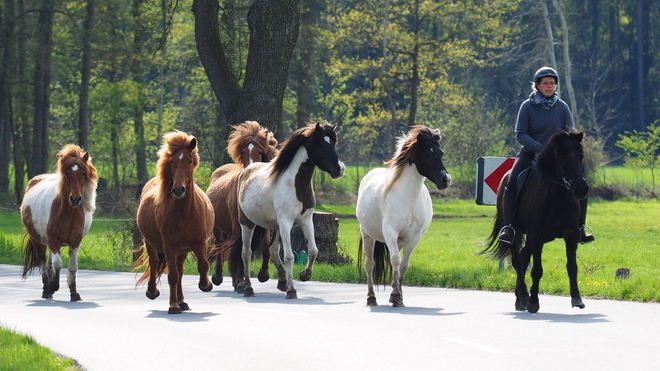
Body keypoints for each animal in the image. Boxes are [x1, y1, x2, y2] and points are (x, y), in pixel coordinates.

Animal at [19, 145, 97, 302]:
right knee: (43, 262)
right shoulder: (53, 239)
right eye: (67, 173)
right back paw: (47, 290)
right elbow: (58, 263)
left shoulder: (75, 242)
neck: (68, 213)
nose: (75, 199)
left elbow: (72, 267)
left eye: (83, 173)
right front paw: (53, 285)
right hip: (38, 240)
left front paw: (74, 293)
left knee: (50, 263)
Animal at [134, 131, 214, 314]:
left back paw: (183, 301)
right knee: (155, 263)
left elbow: (203, 265)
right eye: (171, 162)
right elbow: (172, 275)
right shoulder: (169, 245)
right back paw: (153, 292)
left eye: (190, 160)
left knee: (180, 271)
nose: (178, 189)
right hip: (151, 243)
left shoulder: (200, 242)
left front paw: (206, 285)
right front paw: (173, 305)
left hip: (182, 250)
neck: (184, 213)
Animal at [206, 120, 278, 290]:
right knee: (220, 245)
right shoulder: (238, 223)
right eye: (243, 152)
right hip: (218, 227)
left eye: (260, 152)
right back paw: (220, 277)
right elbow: (238, 250)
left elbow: (265, 247)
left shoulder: (263, 224)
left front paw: (263, 274)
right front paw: (240, 281)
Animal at [358, 126, 452, 306]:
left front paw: (398, 297)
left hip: (400, 241)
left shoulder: (414, 238)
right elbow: (395, 260)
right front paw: (395, 295)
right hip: (368, 235)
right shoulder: (390, 233)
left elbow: (403, 265)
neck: (408, 198)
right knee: (369, 264)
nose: (446, 180)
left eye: (441, 153)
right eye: (426, 154)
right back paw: (371, 298)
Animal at [480, 131, 588, 314]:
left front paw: (577, 298)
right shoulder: (537, 236)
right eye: (563, 158)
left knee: (523, 256)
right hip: (516, 232)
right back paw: (523, 296)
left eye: (581, 156)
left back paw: (519, 298)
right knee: (517, 259)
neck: (557, 196)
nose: (581, 189)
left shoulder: (571, 235)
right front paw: (533, 302)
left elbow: (572, 267)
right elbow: (537, 270)